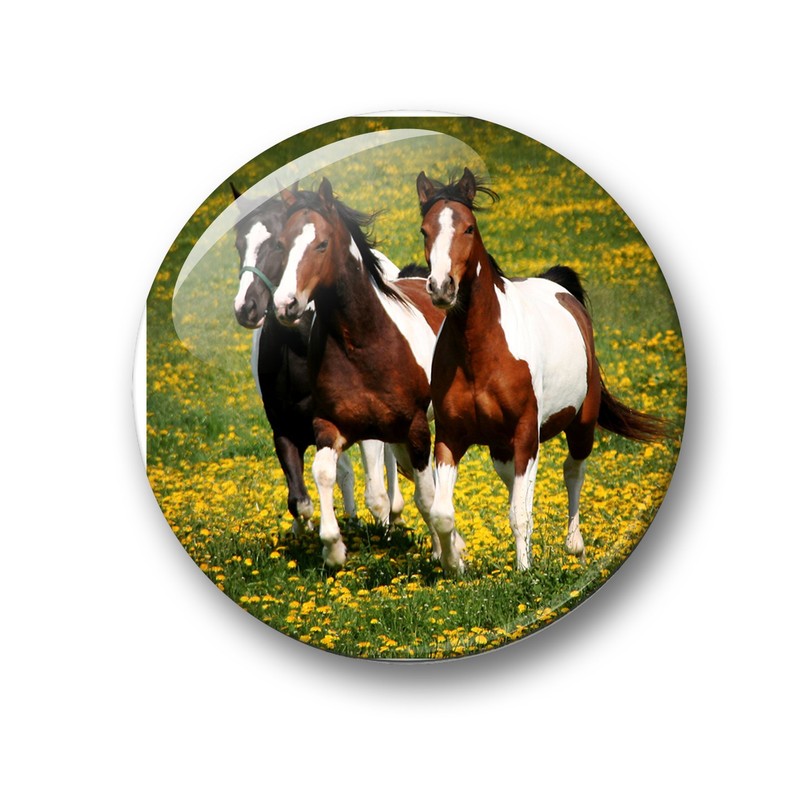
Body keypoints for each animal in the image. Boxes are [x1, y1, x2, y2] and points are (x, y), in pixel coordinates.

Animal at [230, 184, 405, 532]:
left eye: (276, 243)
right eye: (239, 245)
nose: (247, 308)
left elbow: (376, 496)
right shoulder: (286, 431)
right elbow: (300, 501)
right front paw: (309, 532)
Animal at [272, 178, 445, 568]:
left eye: (321, 244)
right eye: (281, 245)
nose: (284, 305)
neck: (363, 343)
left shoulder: (416, 428)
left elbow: (426, 497)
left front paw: (450, 556)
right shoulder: (331, 426)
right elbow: (323, 472)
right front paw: (334, 548)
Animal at [417, 168, 667, 574]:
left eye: (469, 227)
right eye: (425, 230)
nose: (441, 288)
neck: (479, 353)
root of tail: (558, 286)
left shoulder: (525, 434)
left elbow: (520, 513)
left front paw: (524, 571)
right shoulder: (452, 438)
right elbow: (443, 512)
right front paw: (456, 565)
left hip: (580, 425)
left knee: (572, 471)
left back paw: (575, 546)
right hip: (502, 447)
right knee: (516, 486)